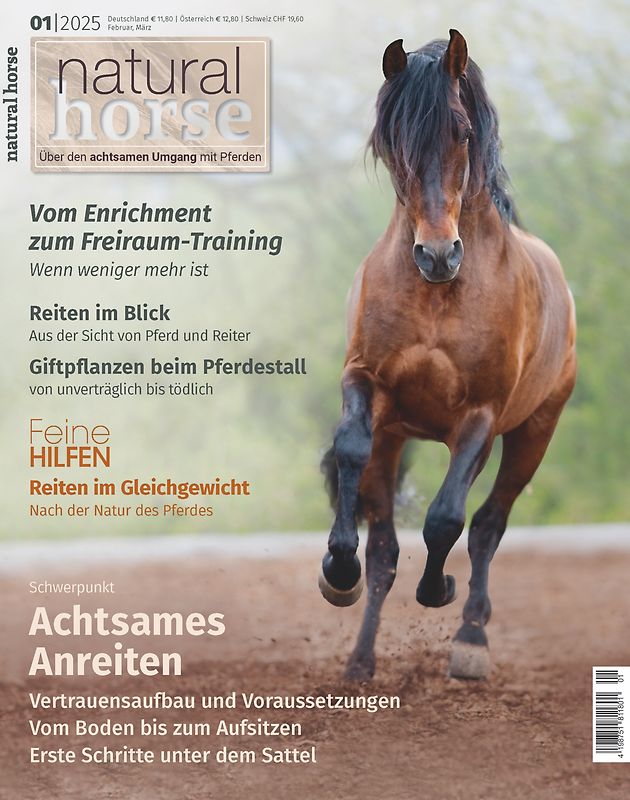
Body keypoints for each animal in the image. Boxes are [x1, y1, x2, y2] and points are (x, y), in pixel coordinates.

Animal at [319, 30, 577, 682]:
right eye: (392, 141)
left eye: (461, 132)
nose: (438, 255)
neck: (439, 296)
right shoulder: (366, 385)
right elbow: (351, 454)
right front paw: (337, 572)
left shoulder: (480, 417)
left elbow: (445, 519)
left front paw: (438, 591)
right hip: (397, 436)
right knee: (385, 548)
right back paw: (361, 661)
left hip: (535, 430)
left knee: (487, 525)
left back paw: (470, 639)